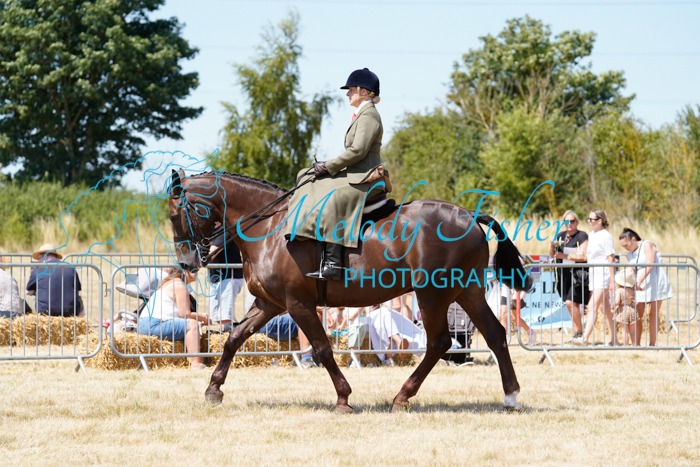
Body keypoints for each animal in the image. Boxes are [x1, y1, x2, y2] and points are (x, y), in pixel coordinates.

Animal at [168, 169, 532, 412]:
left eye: (174, 215)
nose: (186, 263)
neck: (269, 228)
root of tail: (468, 215)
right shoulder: (269, 304)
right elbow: (234, 337)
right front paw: (214, 389)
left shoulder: (298, 304)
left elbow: (322, 348)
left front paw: (343, 397)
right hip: (466, 291)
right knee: (495, 333)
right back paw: (511, 396)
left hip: (433, 294)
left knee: (440, 342)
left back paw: (403, 396)